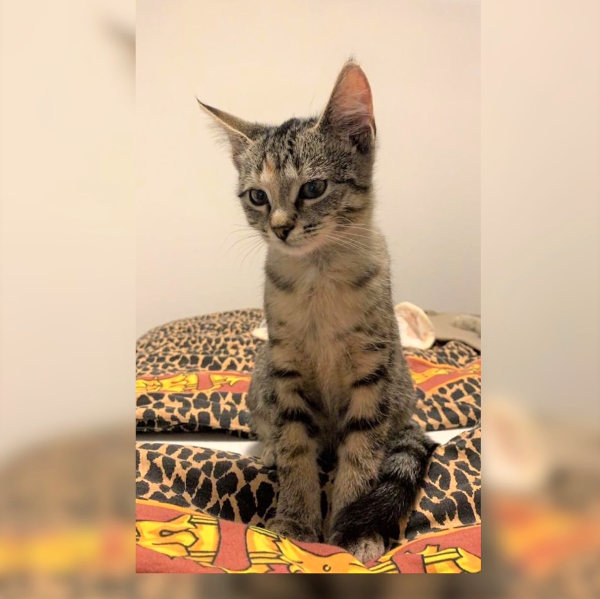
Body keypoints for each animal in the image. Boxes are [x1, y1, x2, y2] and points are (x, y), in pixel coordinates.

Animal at [199, 61, 436, 562]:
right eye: (257, 197)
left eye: (313, 187)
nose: (280, 228)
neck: (318, 279)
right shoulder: (286, 368)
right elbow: (295, 452)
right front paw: (294, 524)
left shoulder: (372, 372)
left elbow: (361, 455)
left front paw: (352, 530)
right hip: (262, 377)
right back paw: (268, 448)